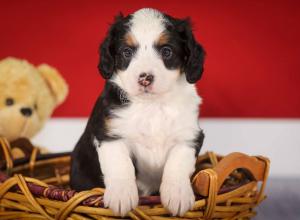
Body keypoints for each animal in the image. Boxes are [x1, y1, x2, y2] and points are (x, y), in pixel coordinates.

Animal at [71, 7, 205, 216]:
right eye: (127, 52)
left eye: (166, 51)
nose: (145, 78)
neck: (152, 105)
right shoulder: (110, 134)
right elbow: (120, 165)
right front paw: (121, 196)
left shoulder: (189, 136)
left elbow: (178, 164)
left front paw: (178, 194)